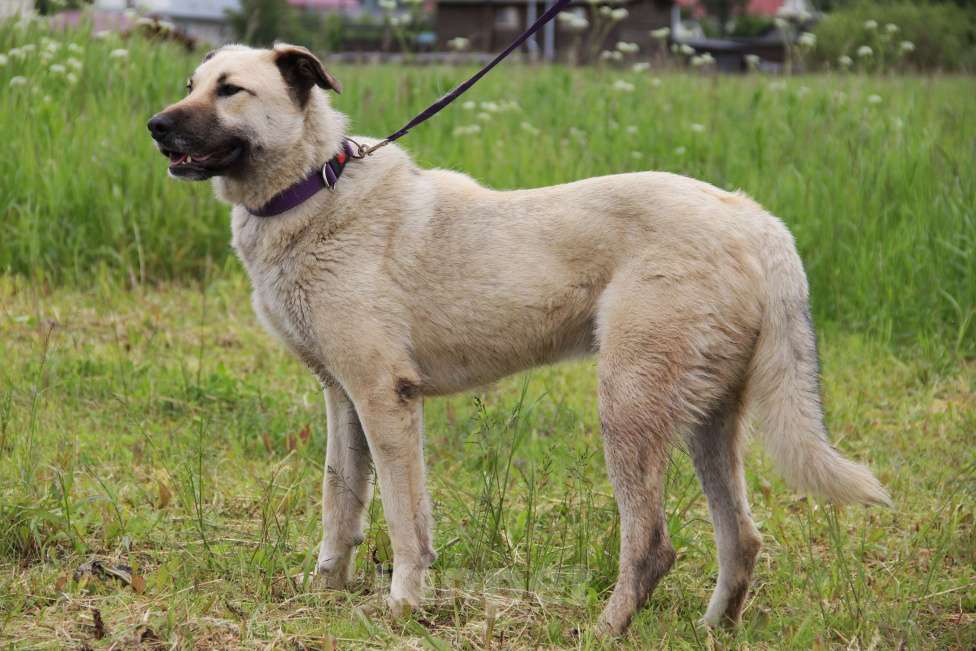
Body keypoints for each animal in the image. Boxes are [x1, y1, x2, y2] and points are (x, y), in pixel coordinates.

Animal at [149, 44, 888, 636]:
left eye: (230, 90)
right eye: (190, 83)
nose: (156, 126)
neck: (310, 190)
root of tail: (753, 218)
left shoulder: (386, 399)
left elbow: (404, 518)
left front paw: (404, 605)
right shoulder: (343, 398)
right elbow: (341, 501)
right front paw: (325, 588)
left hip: (629, 408)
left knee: (652, 544)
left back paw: (603, 629)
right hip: (705, 421)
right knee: (742, 539)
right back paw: (712, 629)